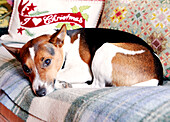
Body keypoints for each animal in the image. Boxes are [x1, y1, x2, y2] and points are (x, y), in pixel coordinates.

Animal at [1, 24, 163, 96]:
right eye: (26, 69)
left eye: (47, 61)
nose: (40, 93)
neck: (66, 47)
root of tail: (158, 76)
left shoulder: (84, 70)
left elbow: (58, 73)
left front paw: (59, 82)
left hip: (105, 49)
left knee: (97, 86)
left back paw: (65, 85)